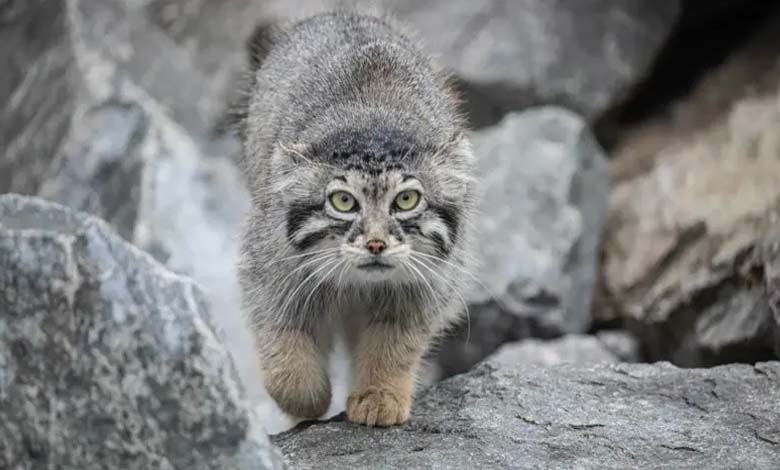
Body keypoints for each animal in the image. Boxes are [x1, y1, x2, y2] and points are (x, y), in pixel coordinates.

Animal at [233, 8, 476, 426]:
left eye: (407, 199)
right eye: (343, 202)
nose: (376, 244)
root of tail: (341, 11)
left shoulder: (428, 283)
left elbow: (395, 344)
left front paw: (379, 396)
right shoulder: (272, 269)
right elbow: (281, 344)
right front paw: (307, 400)